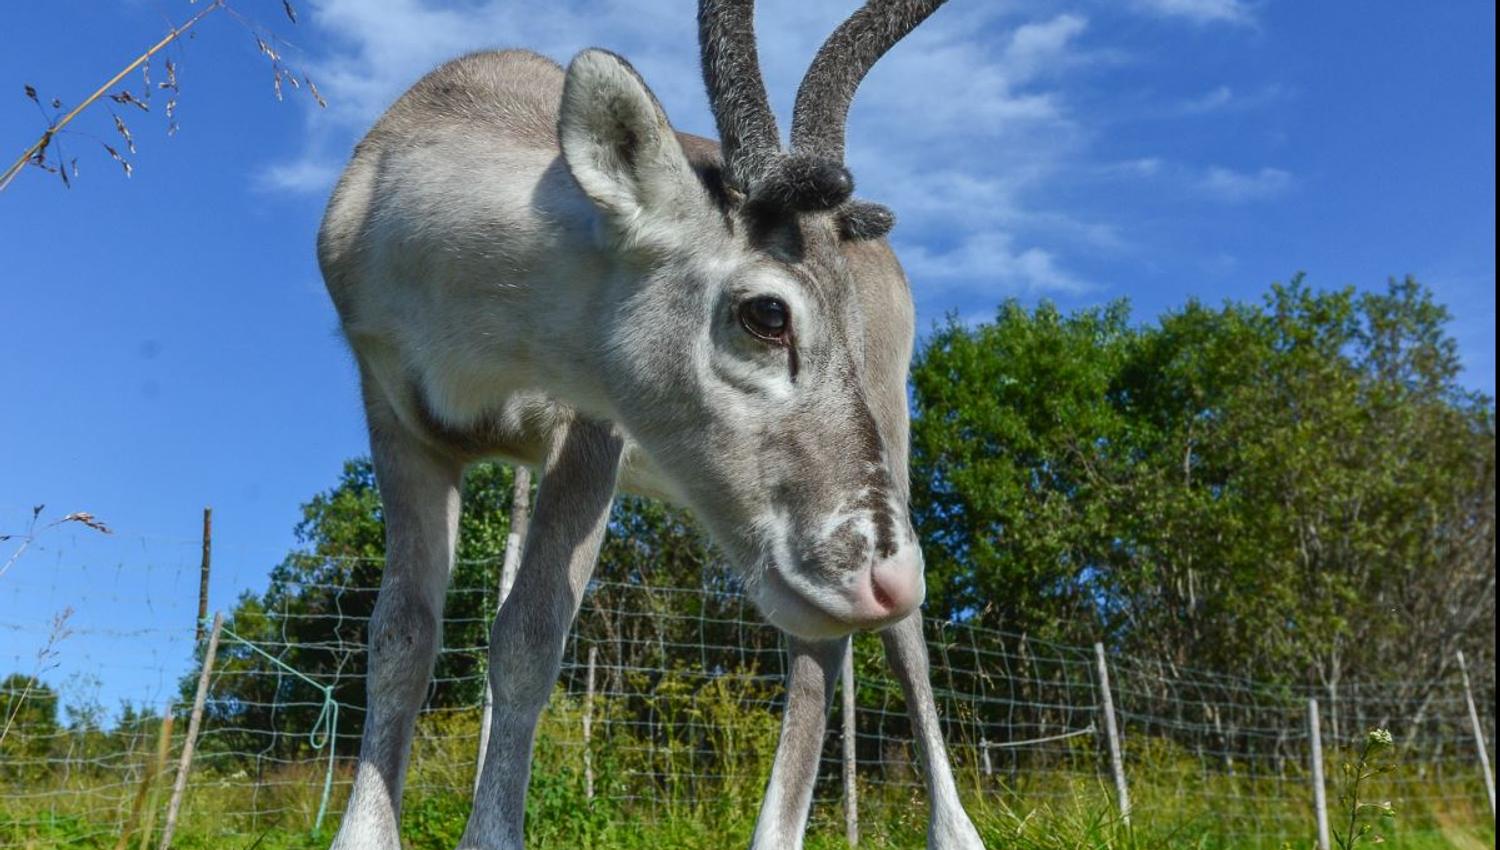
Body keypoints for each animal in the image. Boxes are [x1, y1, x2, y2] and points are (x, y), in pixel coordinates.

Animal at [316, 1, 985, 847]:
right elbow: (400, 634)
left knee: (906, 643)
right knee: (816, 643)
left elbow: (528, 634)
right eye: (768, 314)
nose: (884, 577)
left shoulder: (590, 433)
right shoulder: (397, 420)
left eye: (849, 326)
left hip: (888, 442)